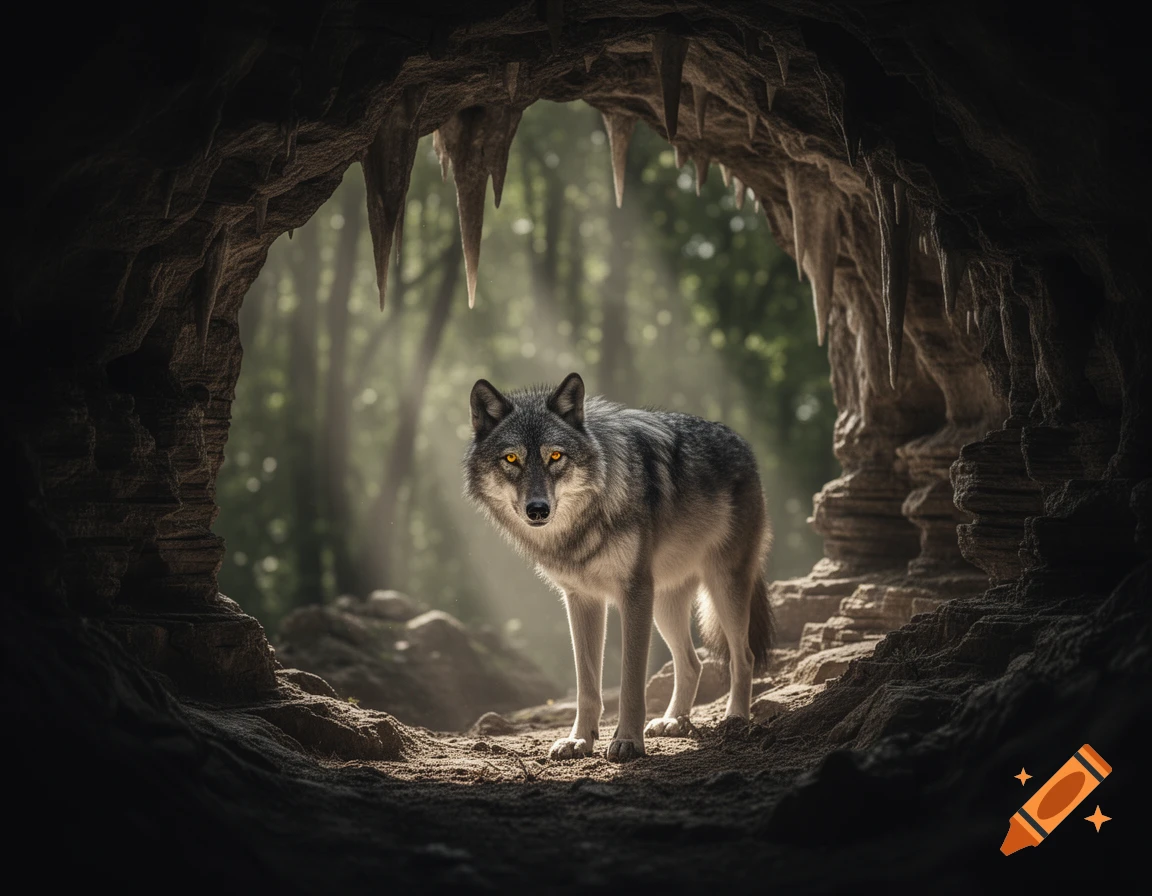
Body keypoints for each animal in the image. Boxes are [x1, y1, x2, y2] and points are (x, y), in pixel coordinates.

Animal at [462, 372, 774, 763]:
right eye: (511, 458)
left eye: (555, 456)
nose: (538, 509)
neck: (585, 522)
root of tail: (743, 444)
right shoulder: (582, 599)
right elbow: (586, 686)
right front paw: (579, 740)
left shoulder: (635, 594)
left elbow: (630, 682)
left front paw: (627, 741)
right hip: (666, 606)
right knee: (692, 662)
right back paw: (674, 721)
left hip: (723, 587)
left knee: (742, 656)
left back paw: (735, 718)